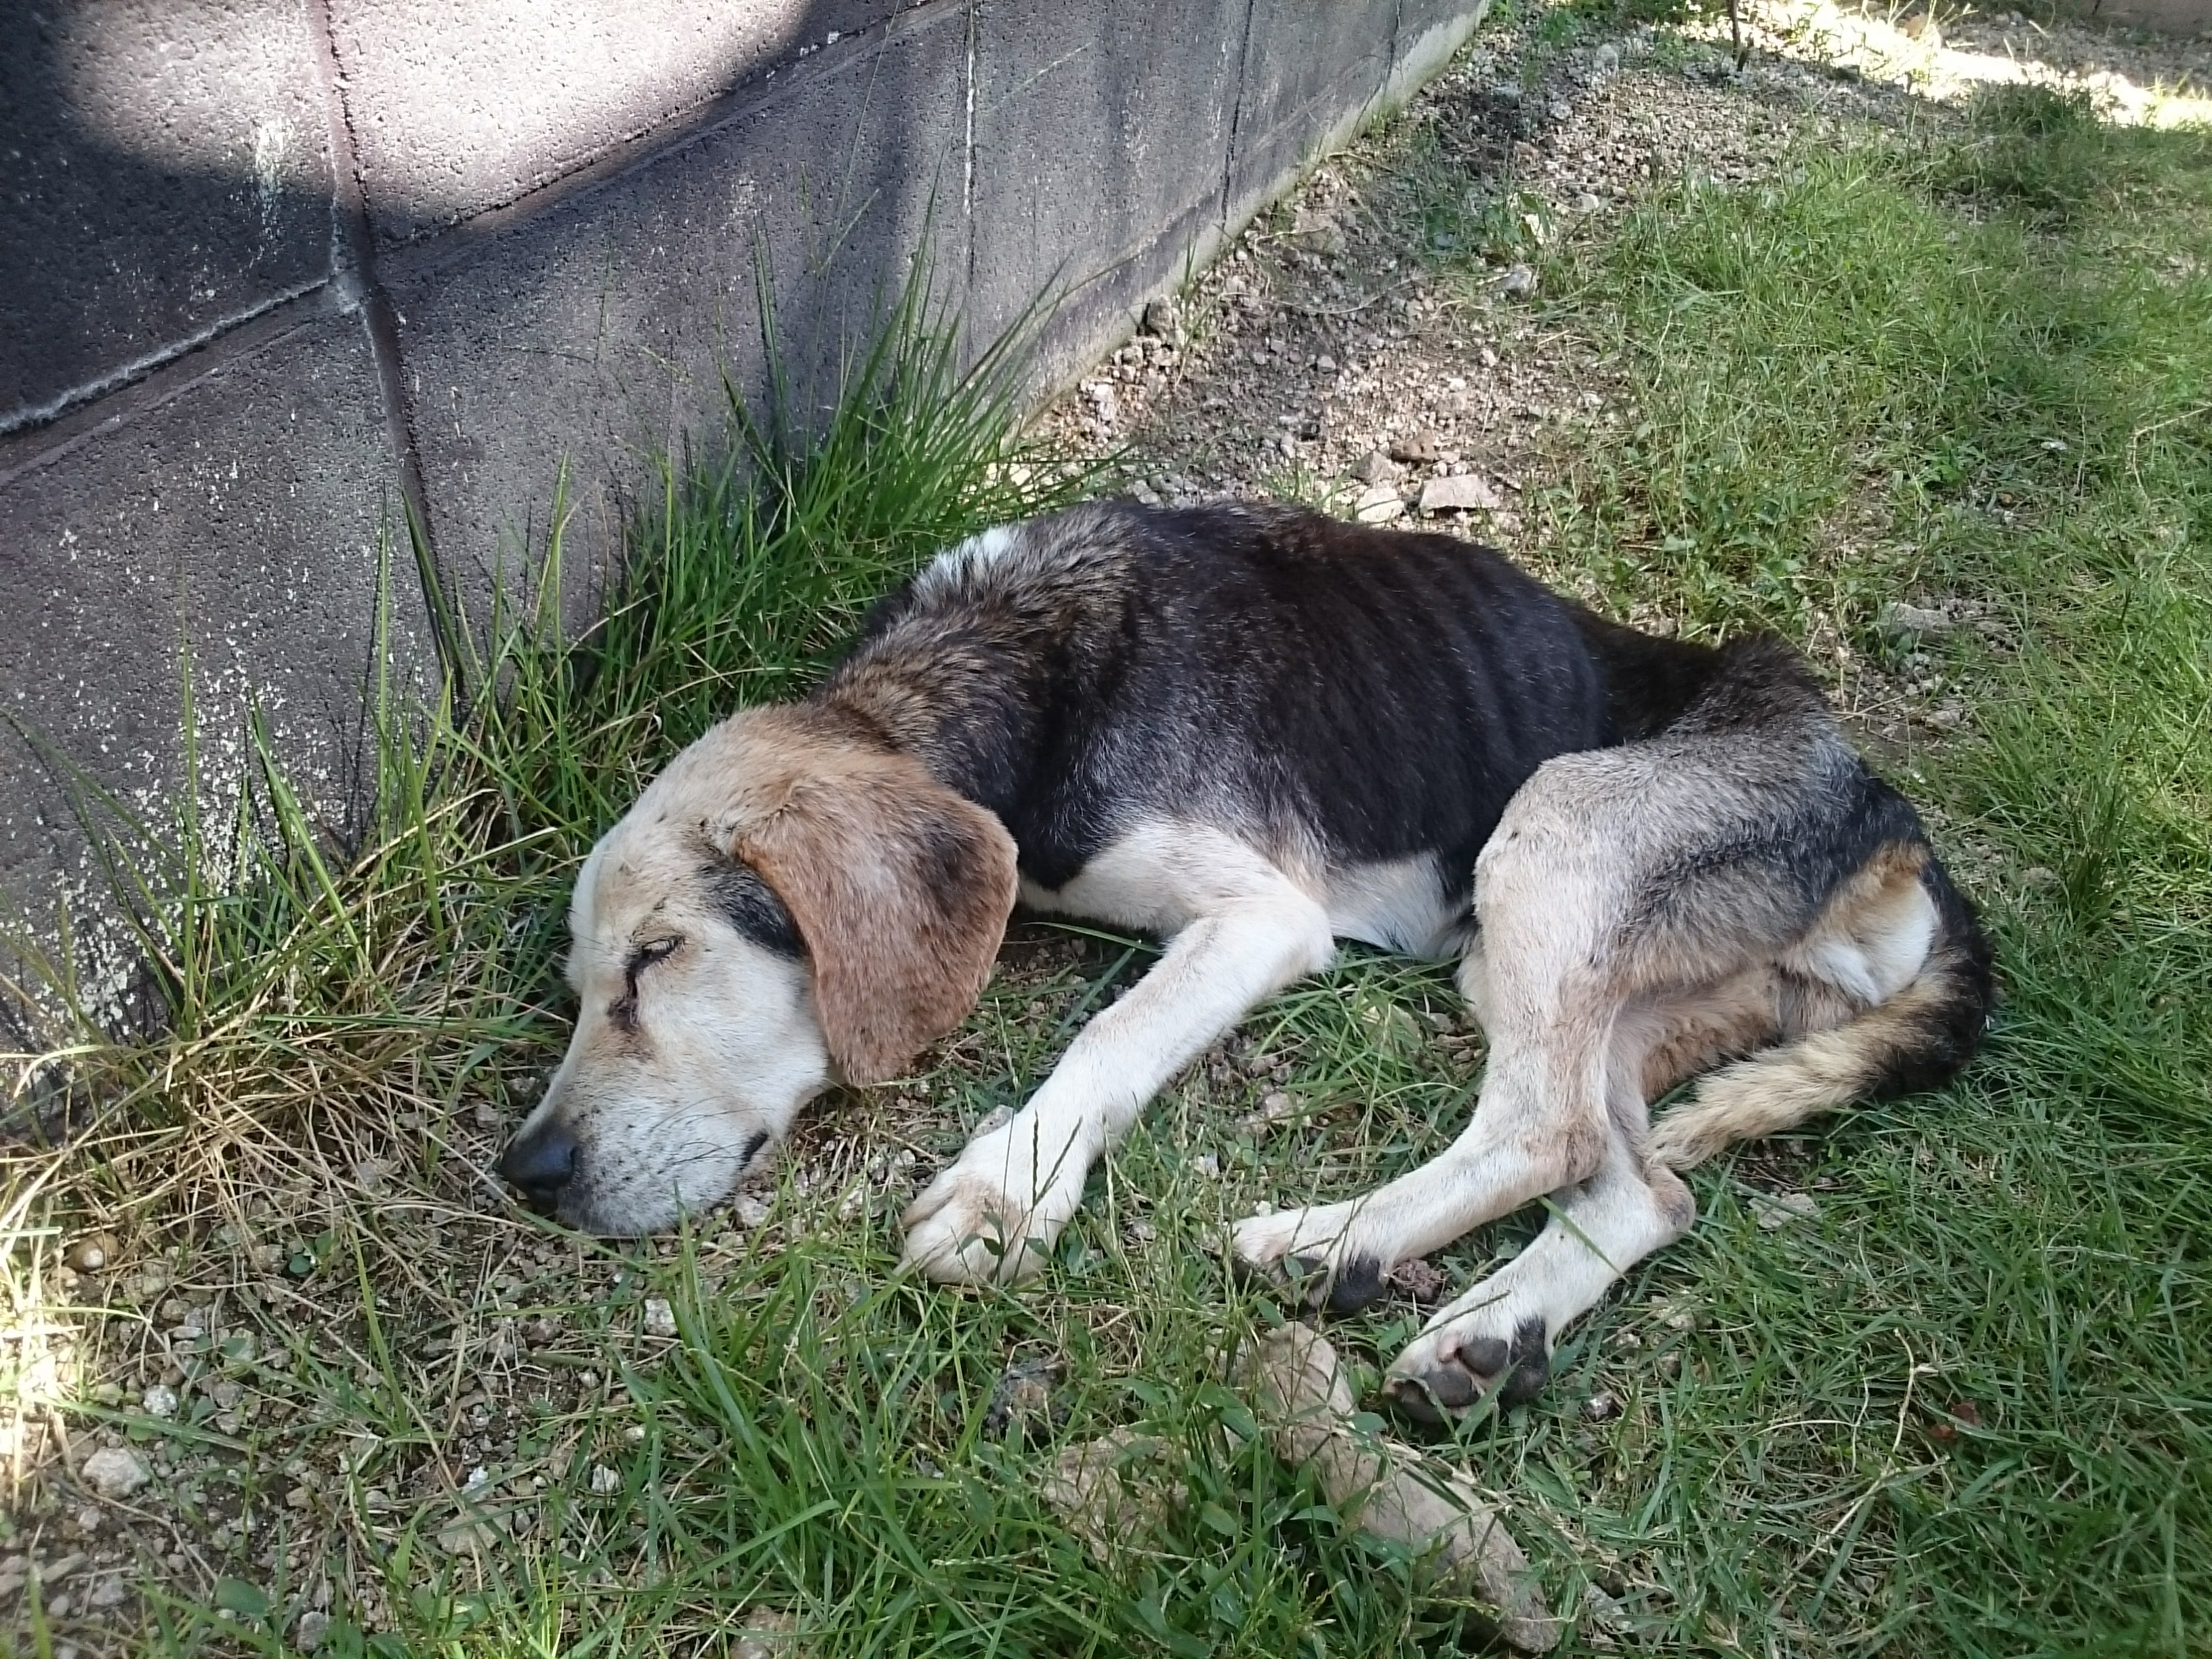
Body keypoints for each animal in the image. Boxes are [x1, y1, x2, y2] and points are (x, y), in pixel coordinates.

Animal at [496, 500, 1991, 1415]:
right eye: (576, 989)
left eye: (655, 959)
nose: (529, 1172)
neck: (1014, 670)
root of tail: (1890, 820)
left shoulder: (1260, 918)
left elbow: (1106, 1037)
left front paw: (1003, 1191)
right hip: (1598, 968)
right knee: (1639, 1186)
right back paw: (1478, 1330)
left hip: (1552, 829)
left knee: (1545, 1131)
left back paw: (1327, 1240)